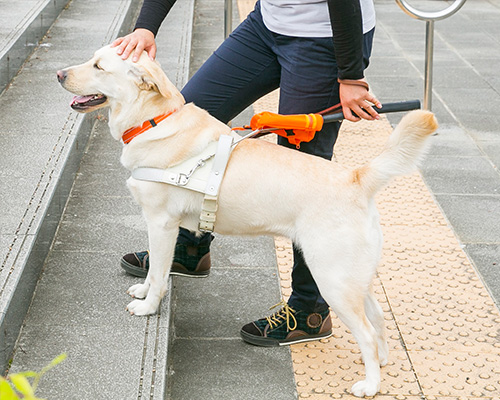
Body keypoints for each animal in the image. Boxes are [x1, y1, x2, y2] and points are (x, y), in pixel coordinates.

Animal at [57, 46, 438, 396]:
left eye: (98, 66)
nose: (59, 74)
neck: (154, 121)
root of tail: (356, 178)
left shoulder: (161, 223)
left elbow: (160, 275)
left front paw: (149, 306)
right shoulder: (161, 225)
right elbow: (153, 272)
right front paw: (143, 291)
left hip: (332, 278)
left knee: (367, 333)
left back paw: (370, 385)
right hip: (354, 276)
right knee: (379, 319)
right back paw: (382, 363)